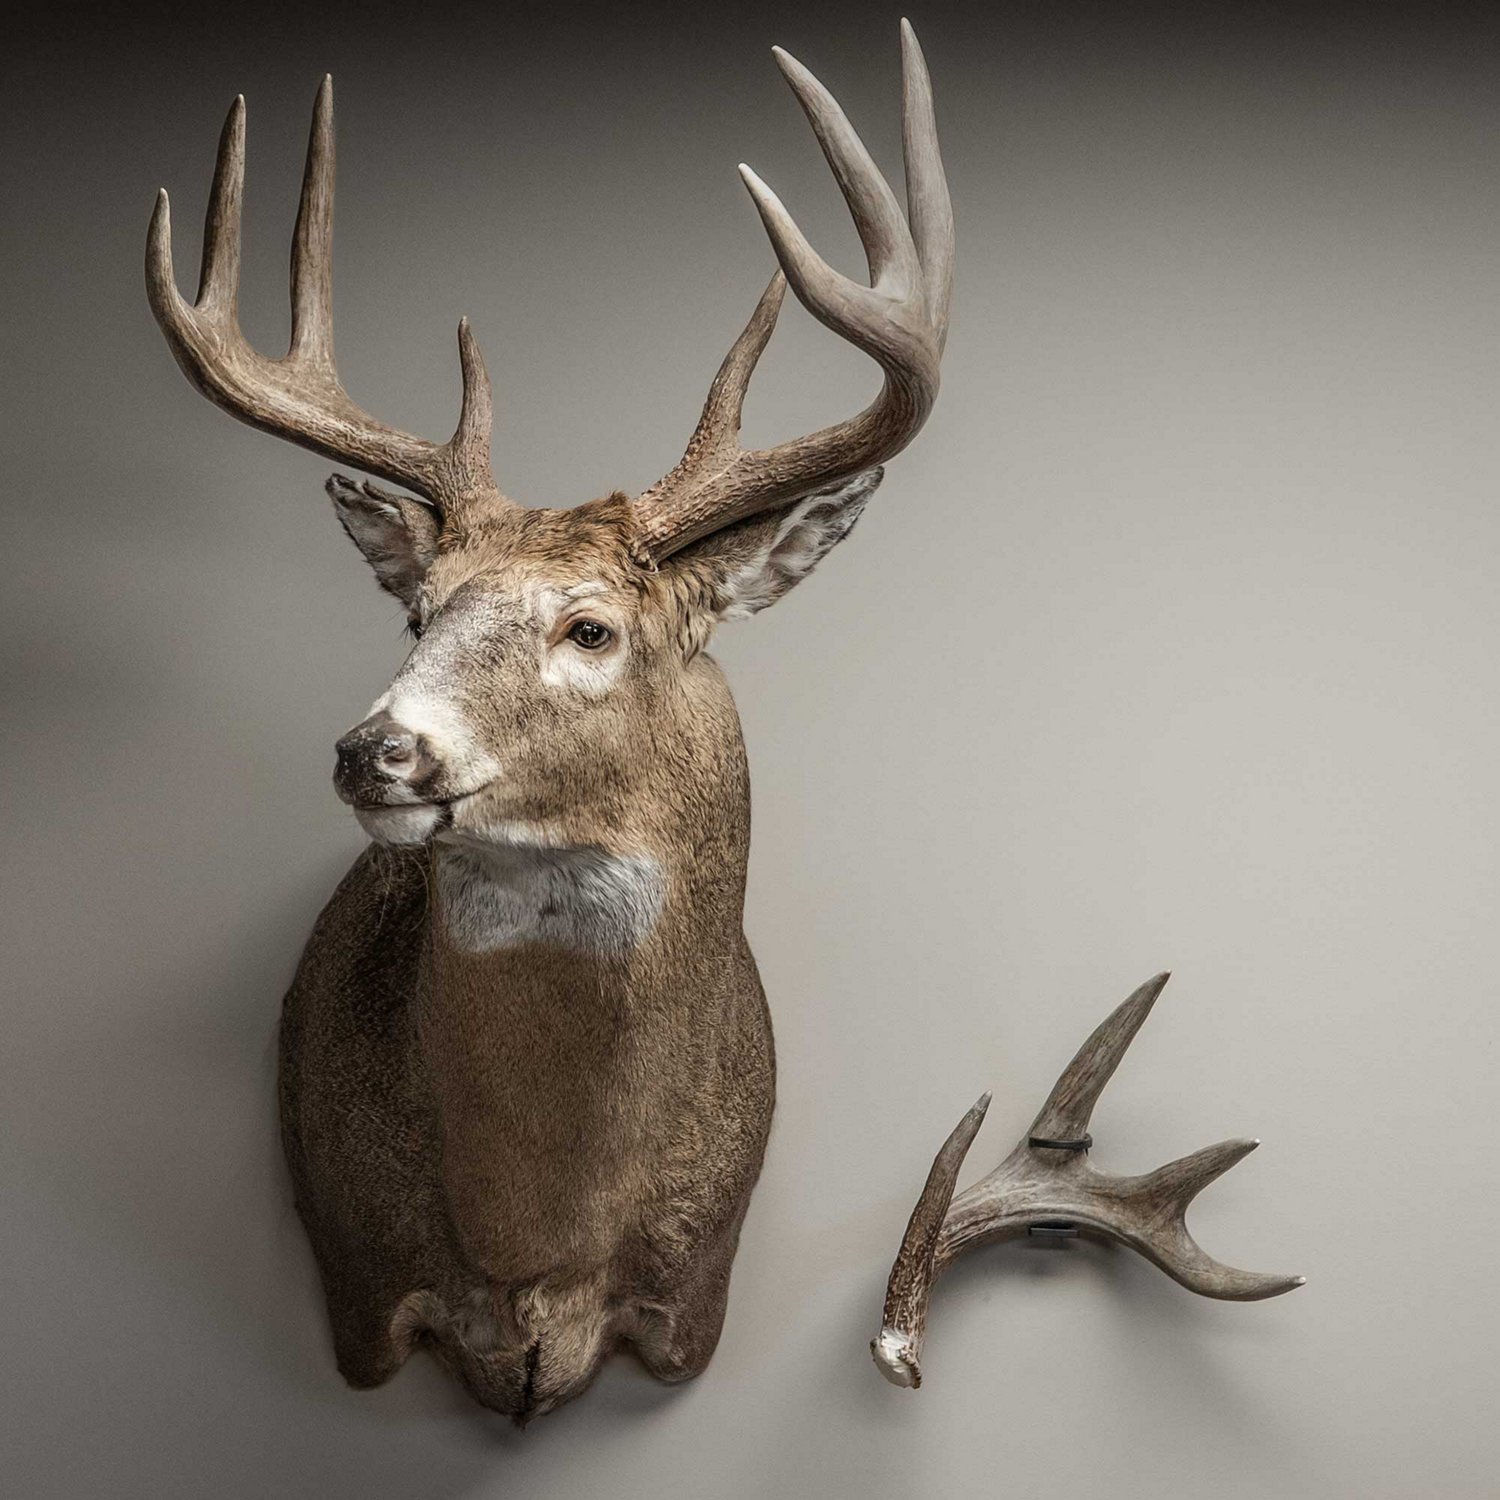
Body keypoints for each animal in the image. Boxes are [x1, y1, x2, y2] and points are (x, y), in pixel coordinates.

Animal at [145, 23, 952, 1423]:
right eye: (418, 613)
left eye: (591, 630)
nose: (374, 750)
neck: (537, 1247)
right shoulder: (359, 1285)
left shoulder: (694, 1306)